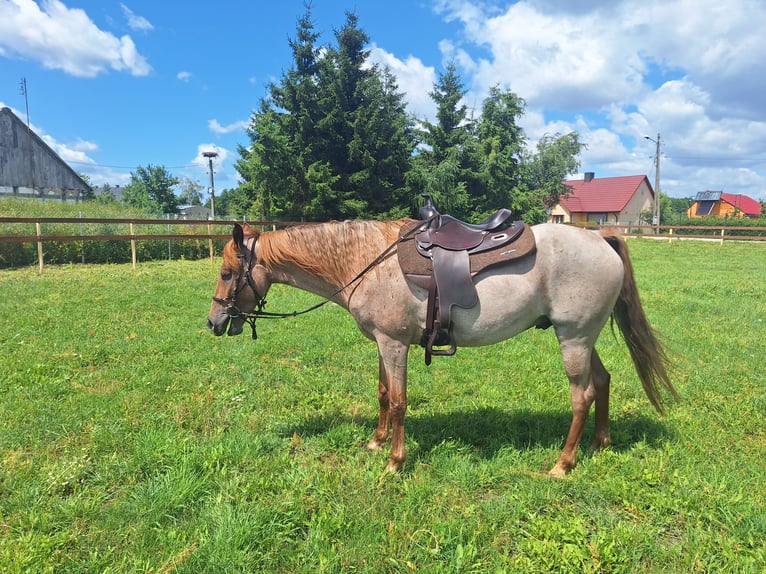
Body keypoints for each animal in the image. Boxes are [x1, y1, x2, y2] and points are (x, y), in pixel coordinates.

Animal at [207, 219, 677, 477]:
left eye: (228, 273)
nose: (213, 323)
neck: (367, 261)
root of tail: (600, 238)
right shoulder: (384, 343)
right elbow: (383, 393)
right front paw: (376, 442)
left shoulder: (394, 344)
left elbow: (399, 401)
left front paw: (395, 461)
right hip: (582, 335)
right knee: (604, 380)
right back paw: (600, 443)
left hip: (574, 338)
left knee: (583, 394)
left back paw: (563, 463)